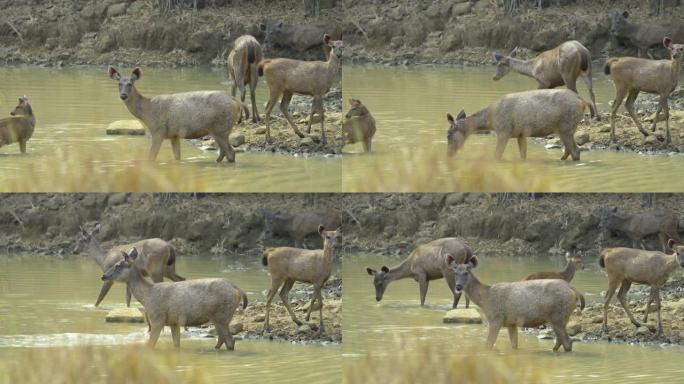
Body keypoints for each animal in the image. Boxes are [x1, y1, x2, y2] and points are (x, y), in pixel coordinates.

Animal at [103, 248, 247, 350]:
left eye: (117, 265)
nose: (103, 276)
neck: (147, 297)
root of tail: (237, 289)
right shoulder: (174, 322)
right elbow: (176, 345)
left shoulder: (157, 318)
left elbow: (150, 344)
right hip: (220, 317)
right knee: (222, 339)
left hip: (222, 314)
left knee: (230, 340)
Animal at [446, 256, 584, 352]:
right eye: (455, 272)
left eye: (466, 272)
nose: (458, 286)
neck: (485, 300)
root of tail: (572, 289)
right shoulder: (511, 323)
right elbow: (514, 346)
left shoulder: (496, 318)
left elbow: (488, 344)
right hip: (559, 318)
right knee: (561, 340)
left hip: (559, 316)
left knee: (567, 342)